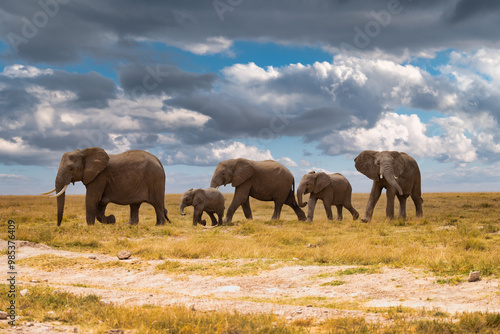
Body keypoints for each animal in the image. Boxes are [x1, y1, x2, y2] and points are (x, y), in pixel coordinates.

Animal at [41, 147, 170, 227]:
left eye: (71, 169)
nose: (58, 226)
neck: (84, 152)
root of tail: (159, 161)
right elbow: (101, 203)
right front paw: (111, 220)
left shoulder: (99, 176)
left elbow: (92, 199)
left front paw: (91, 226)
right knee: (135, 205)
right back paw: (129, 225)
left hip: (155, 179)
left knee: (157, 203)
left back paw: (159, 225)